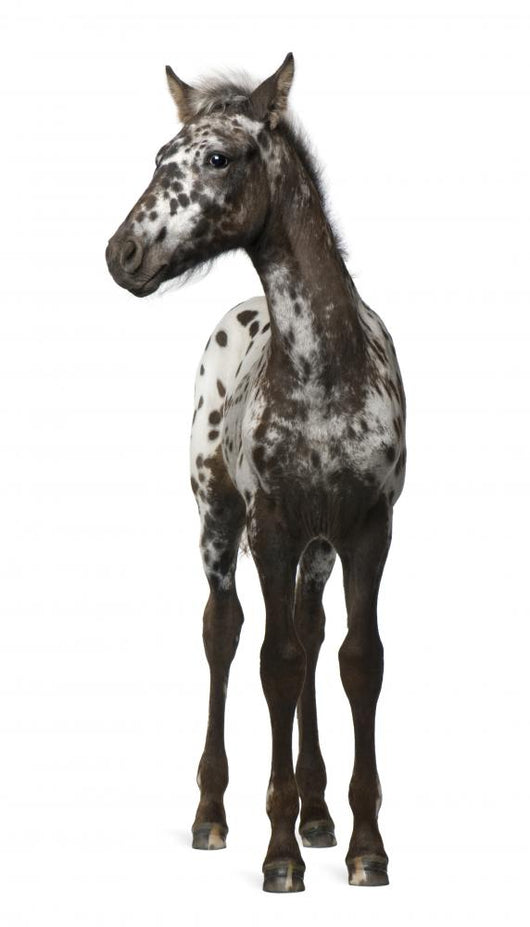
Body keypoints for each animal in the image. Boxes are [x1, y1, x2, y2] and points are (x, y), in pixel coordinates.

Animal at [106, 53, 406, 893]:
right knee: (224, 629)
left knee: (310, 627)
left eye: (218, 157)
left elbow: (356, 661)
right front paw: (280, 856)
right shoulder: (268, 528)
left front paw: (365, 846)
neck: (325, 372)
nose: (121, 254)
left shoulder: (368, 529)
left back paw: (319, 812)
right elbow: (275, 661)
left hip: (318, 548)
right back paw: (213, 815)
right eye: (159, 158)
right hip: (217, 518)